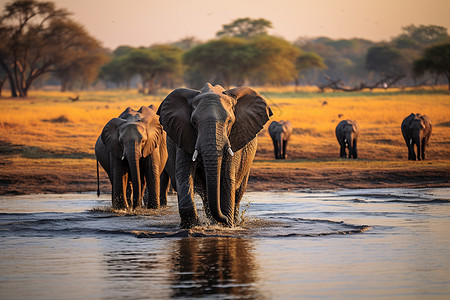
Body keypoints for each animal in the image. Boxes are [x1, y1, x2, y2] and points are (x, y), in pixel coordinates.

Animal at [156, 82, 272, 227]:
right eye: (194, 123)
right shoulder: (183, 135)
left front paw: (227, 225)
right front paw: (192, 225)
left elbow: (227, 177)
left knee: (237, 192)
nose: (224, 219)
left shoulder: (234, 137)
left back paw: (233, 221)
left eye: (229, 122)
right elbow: (183, 174)